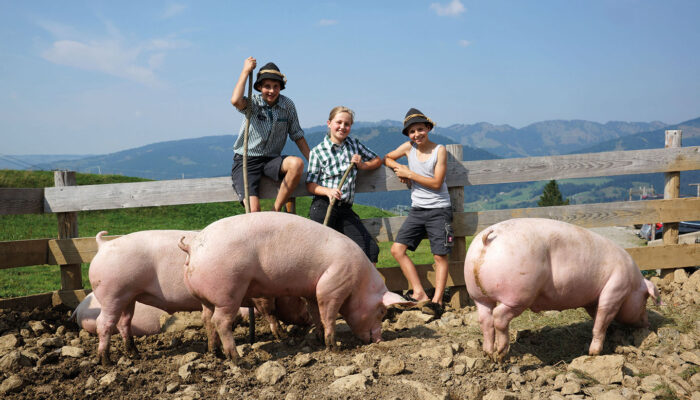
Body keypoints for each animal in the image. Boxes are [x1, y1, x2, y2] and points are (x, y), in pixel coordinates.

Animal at [178, 211, 412, 360]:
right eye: (381, 311)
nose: (380, 339)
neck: (358, 282)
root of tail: (192, 245)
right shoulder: (332, 285)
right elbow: (329, 315)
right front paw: (333, 348)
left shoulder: (312, 291)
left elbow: (316, 314)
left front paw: (318, 339)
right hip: (228, 292)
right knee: (221, 322)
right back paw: (238, 360)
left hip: (205, 298)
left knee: (206, 319)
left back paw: (215, 353)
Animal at [464, 219, 656, 362]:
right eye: (645, 299)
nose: (648, 323)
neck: (633, 284)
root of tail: (487, 240)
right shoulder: (616, 288)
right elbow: (603, 317)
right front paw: (594, 353)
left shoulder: (593, 300)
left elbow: (598, 318)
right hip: (518, 294)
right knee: (499, 316)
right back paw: (501, 353)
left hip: (477, 294)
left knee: (485, 319)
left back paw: (488, 353)